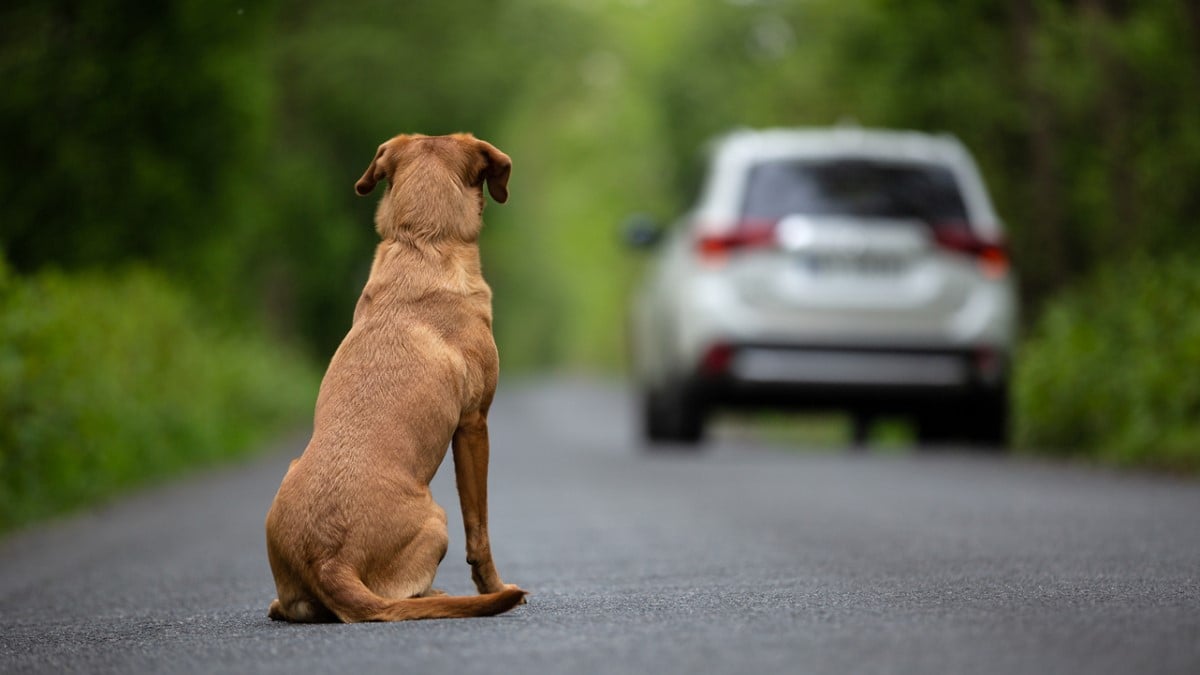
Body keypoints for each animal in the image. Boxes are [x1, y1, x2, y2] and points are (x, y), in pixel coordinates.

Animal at [265, 131, 528, 619]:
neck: (422, 242)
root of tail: (328, 560)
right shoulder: (474, 424)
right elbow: (479, 529)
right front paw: (494, 586)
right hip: (438, 519)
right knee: (406, 594)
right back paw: (442, 595)